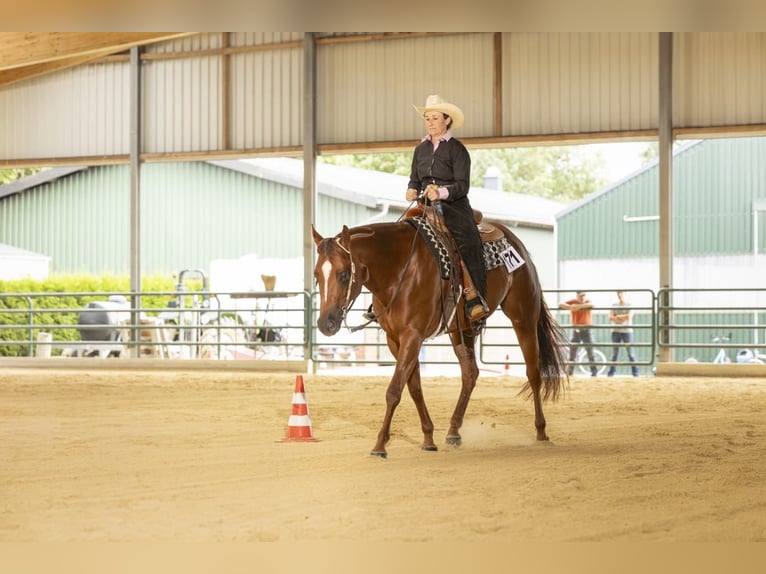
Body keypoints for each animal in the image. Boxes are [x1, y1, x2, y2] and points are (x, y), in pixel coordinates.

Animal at [312, 218, 568, 462]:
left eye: (344, 274)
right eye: (316, 274)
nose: (325, 323)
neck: (399, 269)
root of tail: (516, 242)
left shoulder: (412, 335)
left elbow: (394, 391)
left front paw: (380, 445)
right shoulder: (395, 340)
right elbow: (414, 388)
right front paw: (428, 438)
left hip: (523, 317)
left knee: (533, 373)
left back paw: (541, 431)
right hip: (462, 330)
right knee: (470, 373)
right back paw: (453, 431)